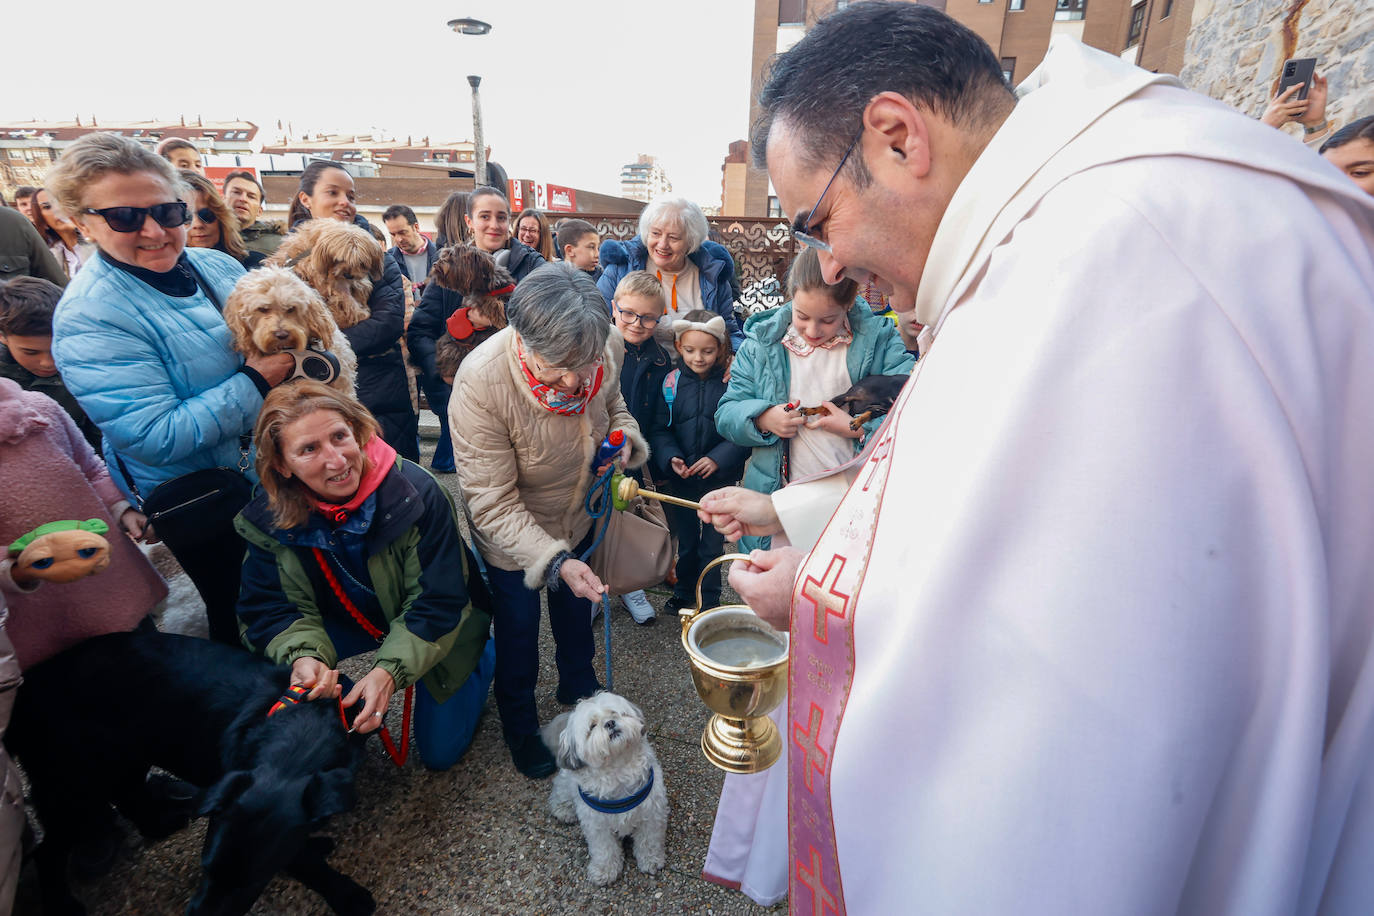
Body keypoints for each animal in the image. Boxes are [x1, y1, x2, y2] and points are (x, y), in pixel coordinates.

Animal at [8, 631, 376, 916]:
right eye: (206, 868)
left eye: (250, 884)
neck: (299, 735)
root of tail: (22, 693)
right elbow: (304, 862)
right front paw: (345, 894)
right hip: (73, 783)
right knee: (47, 850)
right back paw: (62, 905)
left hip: (124, 755)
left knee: (129, 794)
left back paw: (160, 824)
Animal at [431, 243, 513, 384]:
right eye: (444, 255)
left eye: (451, 256)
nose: (436, 264)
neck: (487, 285)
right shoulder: (474, 300)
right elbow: (486, 300)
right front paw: (498, 316)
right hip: (455, 349)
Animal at [538, 692, 667, 884]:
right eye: (592, 726)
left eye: (615, 713)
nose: (610, 723)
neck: (617, 768)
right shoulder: (597, 825)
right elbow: (604, 849)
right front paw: (605, 870)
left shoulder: (651, 814)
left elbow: (648, 840)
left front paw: (651, 859)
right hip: (566, 782)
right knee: (560, 793)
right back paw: (564, 810)